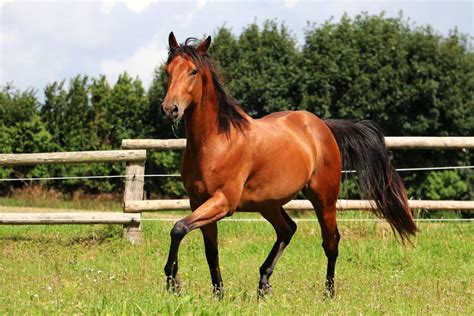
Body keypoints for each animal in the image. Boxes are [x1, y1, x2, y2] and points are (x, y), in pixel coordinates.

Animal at [161, 32, 416, 298]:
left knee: (330, 241)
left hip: (323, 199)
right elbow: (210, 251)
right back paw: (263, 285)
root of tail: (322, 126)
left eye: (193, 71)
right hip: (268, 204)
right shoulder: (198, 201)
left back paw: (328, 293)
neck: (216, 142)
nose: (170, 109)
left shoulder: (223, 202)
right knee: (288, 229)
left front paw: (173, 281)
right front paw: (216, 295)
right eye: (168, 71)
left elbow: (178, 228)